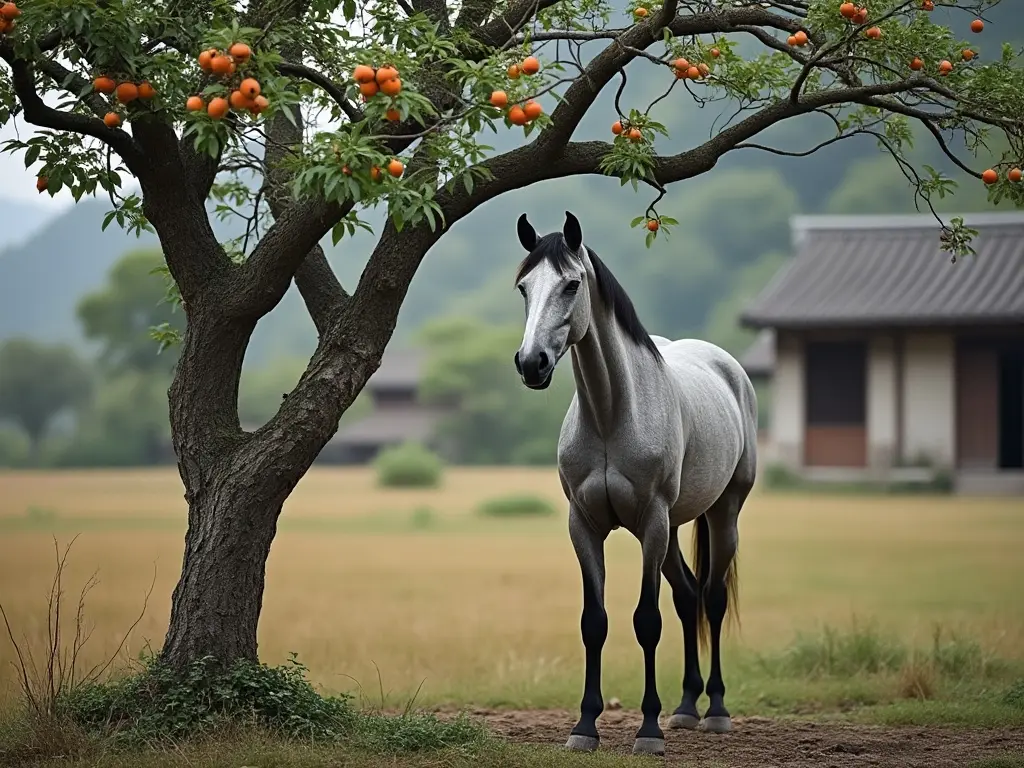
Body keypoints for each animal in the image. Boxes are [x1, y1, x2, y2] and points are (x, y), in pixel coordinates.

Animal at [512, 210, 761, 757]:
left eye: (571, 284)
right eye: (523, 287)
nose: (531, 363)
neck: (612, 414)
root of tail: (729, 368)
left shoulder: (651, 523)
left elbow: (647, 622)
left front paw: (648, 731)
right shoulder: (584, 526)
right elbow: (595, 622)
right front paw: (585, 726)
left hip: (720, 515)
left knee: (711, 598)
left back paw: (715, 710)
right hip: (672, 531)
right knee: (688, 596)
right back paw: (686, 708)